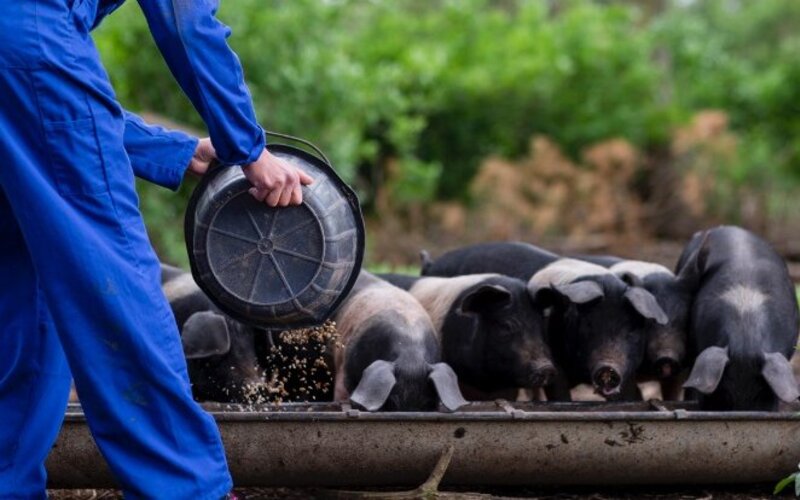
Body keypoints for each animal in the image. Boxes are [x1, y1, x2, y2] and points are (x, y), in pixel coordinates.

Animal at [422, 240, 672, 400]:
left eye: (631, 330)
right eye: (589, 325)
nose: (608, 367)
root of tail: (430, 264)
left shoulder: (628, 369)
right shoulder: (554, 364)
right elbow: (560, 397)